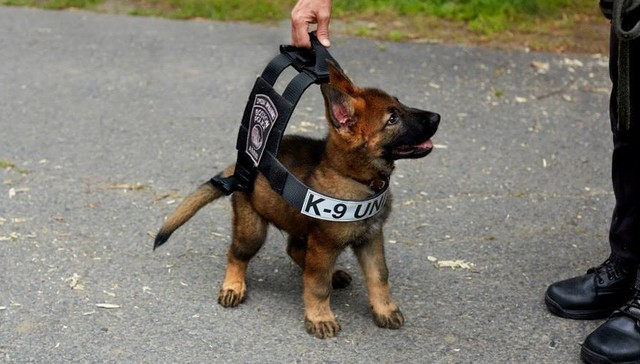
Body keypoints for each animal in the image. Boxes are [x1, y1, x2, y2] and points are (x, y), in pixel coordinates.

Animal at [154, 62, 440, 338]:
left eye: (400, 104)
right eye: (392, 119)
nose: (437, 117)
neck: (355, 178)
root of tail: (239, 166)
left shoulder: (371, 238)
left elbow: (379, 276)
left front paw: (385, 310)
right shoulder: (324, 245)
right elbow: (318, 285)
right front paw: (320, 317)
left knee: (295, 251)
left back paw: (333, 274)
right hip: (252, 229)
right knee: (237, 254)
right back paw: (233, 285)